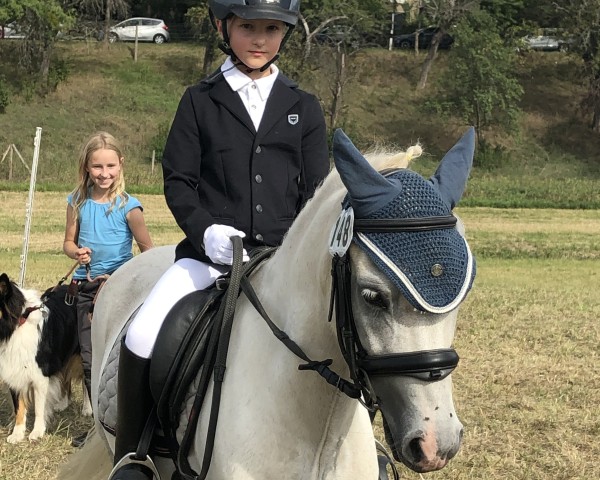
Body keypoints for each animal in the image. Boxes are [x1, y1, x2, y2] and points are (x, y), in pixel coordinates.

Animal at [0, 274, 91, 442]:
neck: (17, 324)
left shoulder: (40, 375)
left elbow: (39, 407)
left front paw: (37, 432)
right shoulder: (14, 369)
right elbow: (19, 407)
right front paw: (17, 434)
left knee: (85, 379)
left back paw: (87, 408)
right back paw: (63, 403)